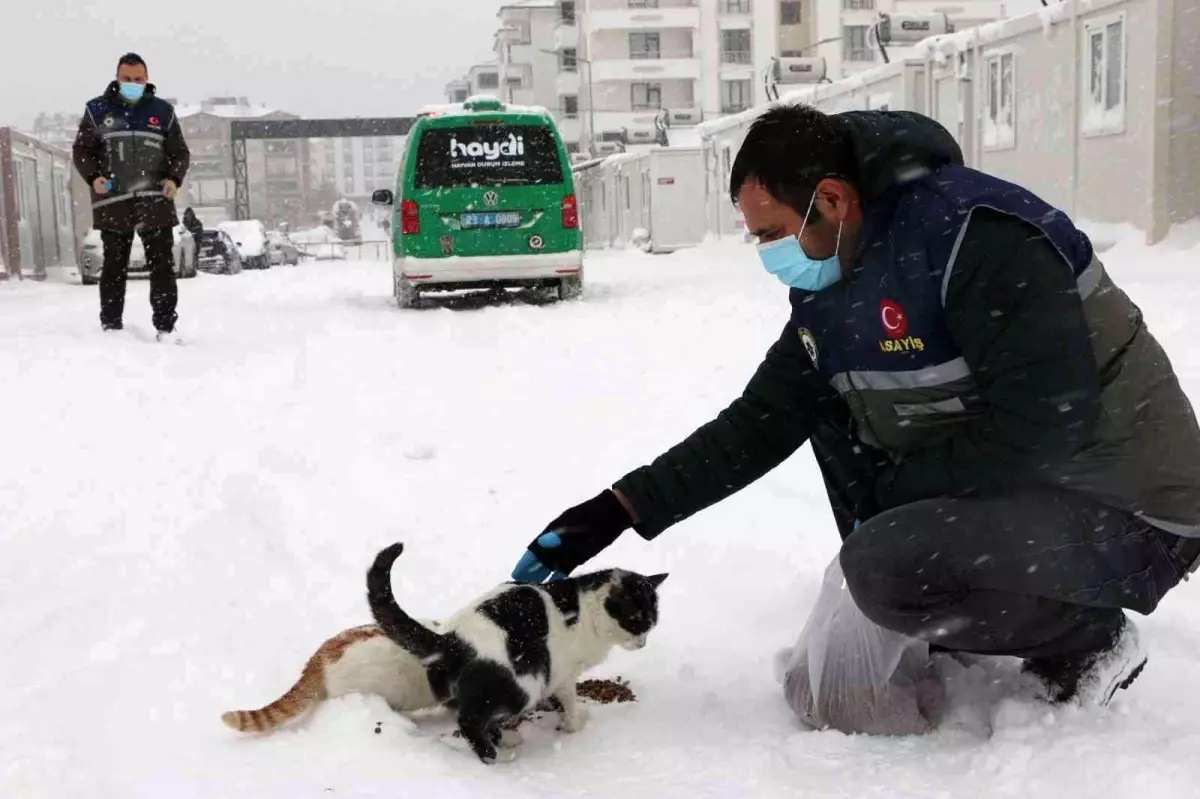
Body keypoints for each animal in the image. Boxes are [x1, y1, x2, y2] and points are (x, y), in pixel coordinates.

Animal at [364, 542, 667, 758]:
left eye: (652, 623)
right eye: (637, 622)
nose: (642, 644)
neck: (588, 611)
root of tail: (451, 639)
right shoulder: (564, 673)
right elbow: (569, 702)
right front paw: (573, 725)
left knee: (470, 715)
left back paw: (504, 740)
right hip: (522, 684)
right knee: (469, 721)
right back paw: (492, 755)